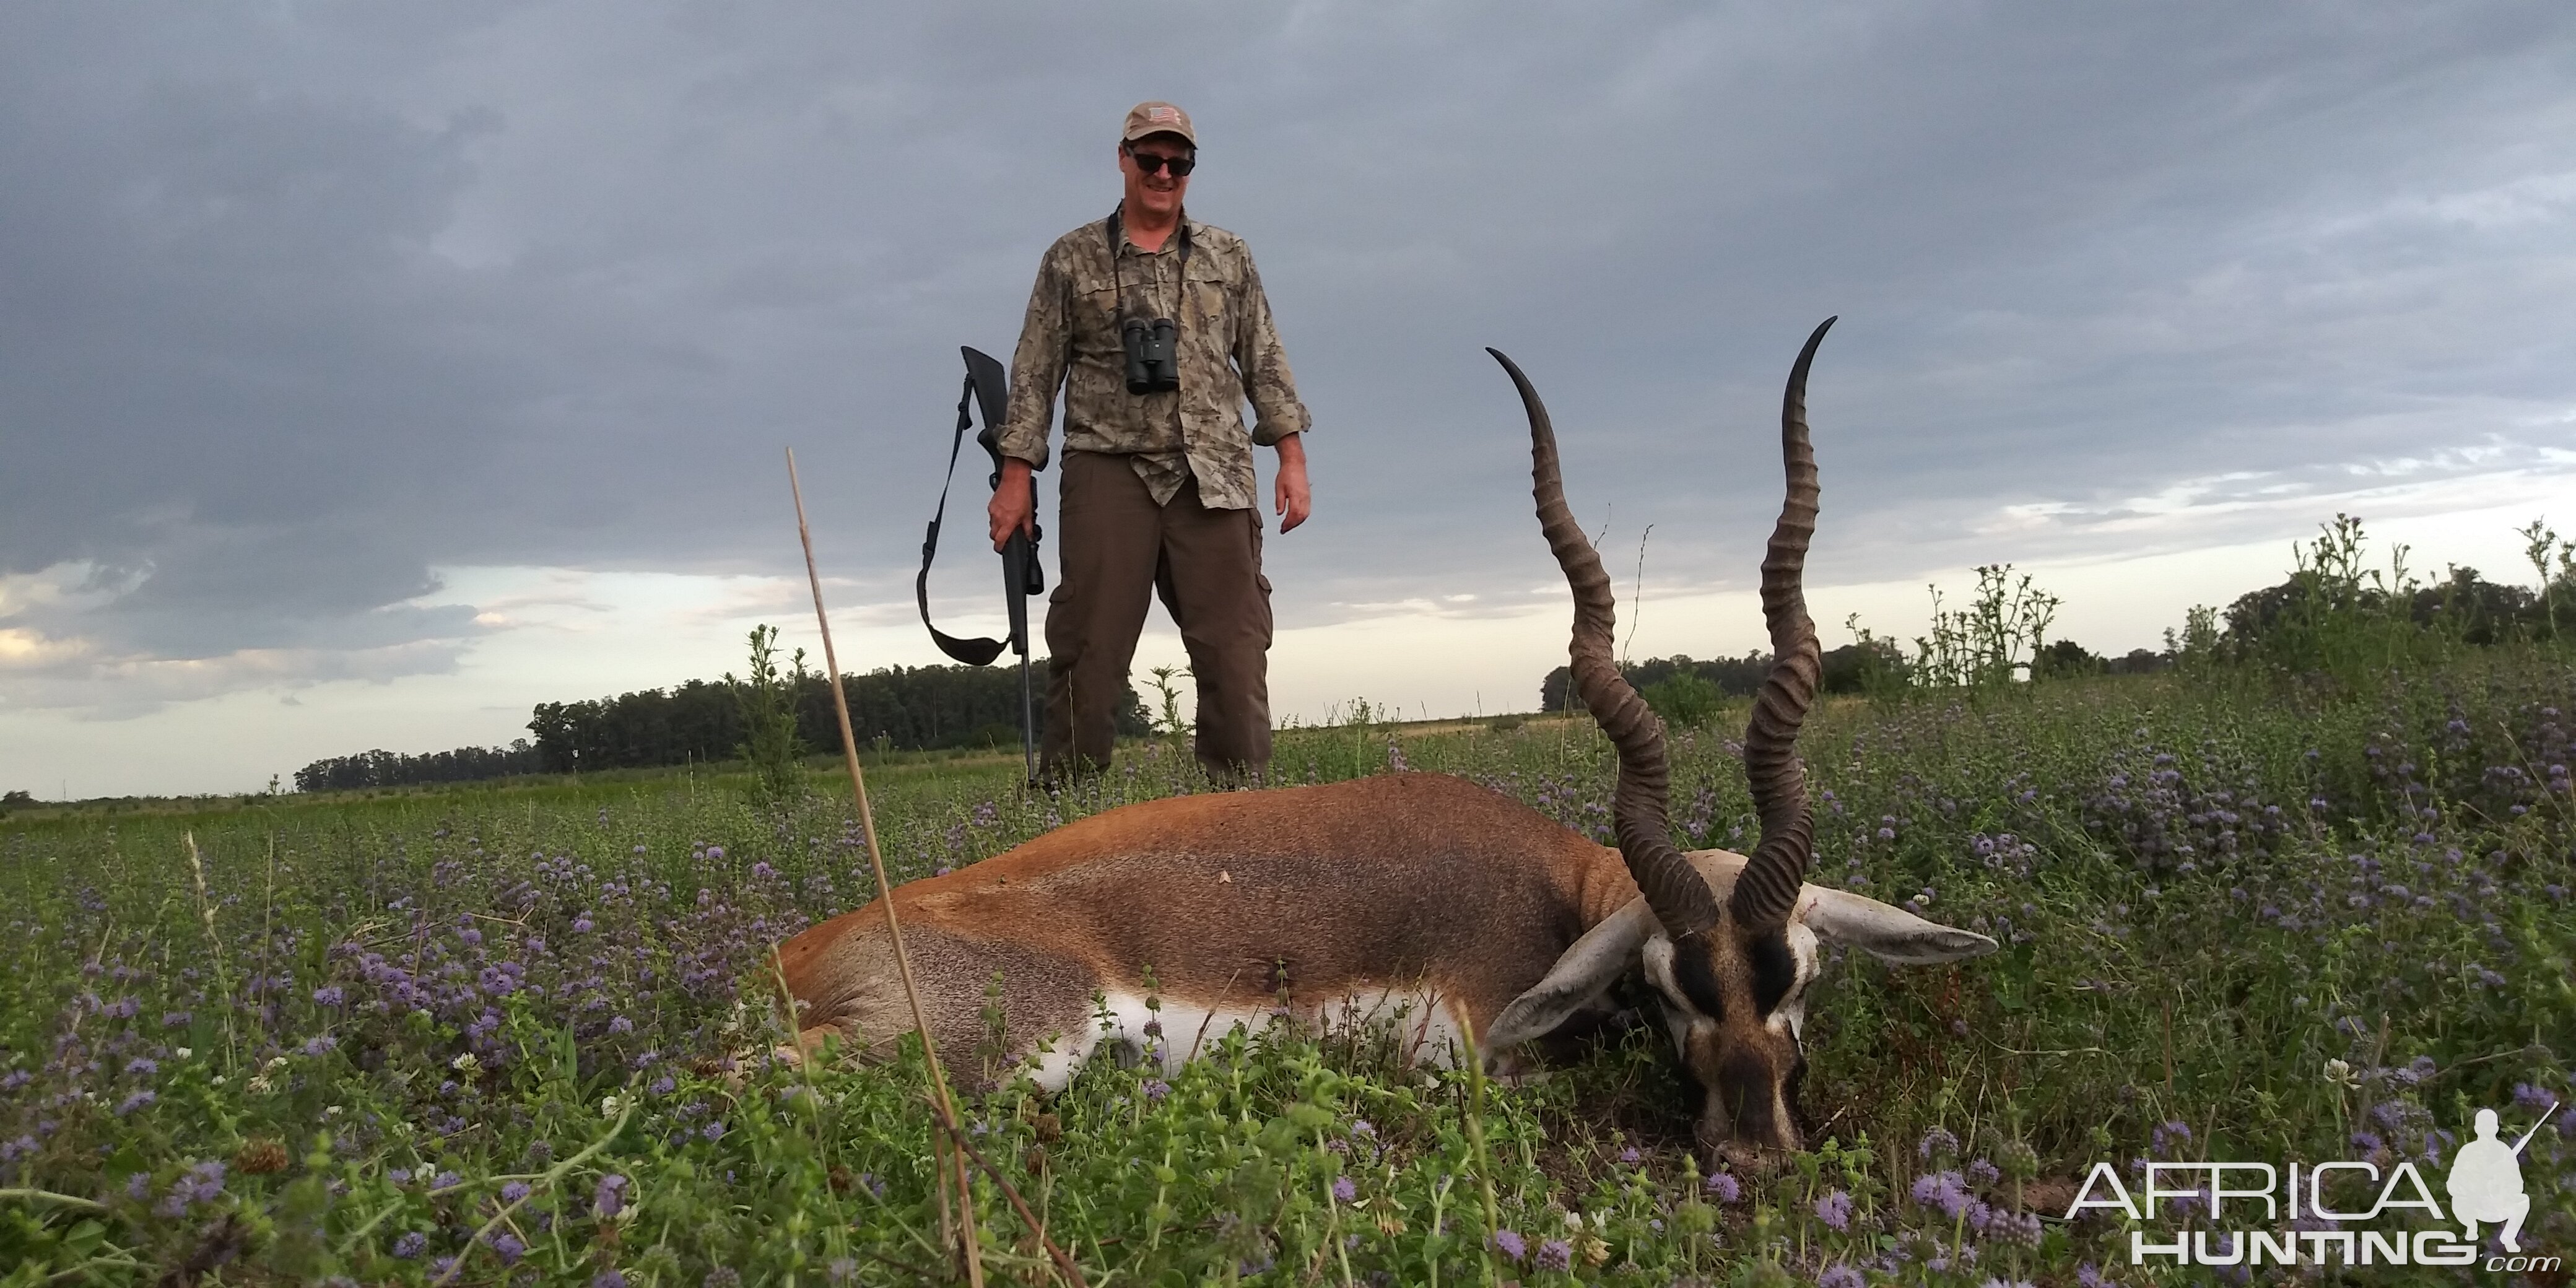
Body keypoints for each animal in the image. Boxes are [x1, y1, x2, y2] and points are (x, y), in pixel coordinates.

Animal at [773, 324, 1999, 1159]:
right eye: (1664, 986)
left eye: (1804, 973)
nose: (1755, 1149)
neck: (1559, 889)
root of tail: (803, 948)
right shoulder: (1469, 1052)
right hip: (991, 1053)